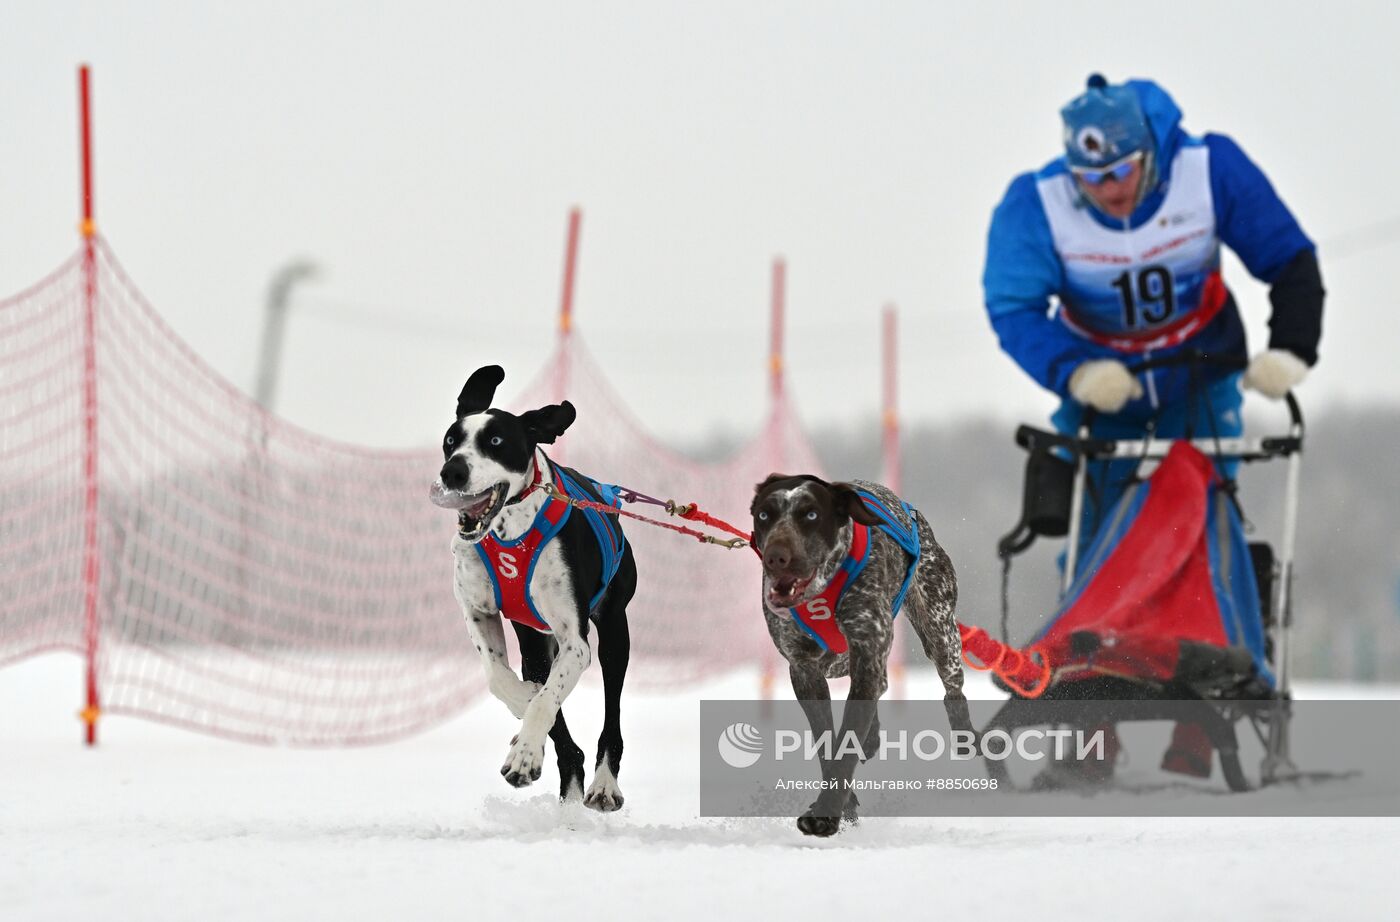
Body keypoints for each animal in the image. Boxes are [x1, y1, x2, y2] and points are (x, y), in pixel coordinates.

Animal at [434, 363, 638, 811]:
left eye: (496, 441)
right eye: (451, 440)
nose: (452, 471)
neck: (512, 532)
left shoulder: (576, 642)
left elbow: (547, 697)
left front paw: (526, 751)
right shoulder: (481, 612)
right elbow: (502, 678)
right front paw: (524, 714)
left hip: (615, 632)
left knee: (610, 721)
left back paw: (603, 784)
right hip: (534, 642)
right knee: (562, 731)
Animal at [750, 475, 968, 839]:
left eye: (811, 514)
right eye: (764, 514)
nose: (776, 557)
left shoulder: (867, 653)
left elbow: (846, 742)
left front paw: (827, 815)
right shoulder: (805, 671)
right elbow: (828, 743)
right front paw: (840, 804)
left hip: (941, 635)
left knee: (952, 689)